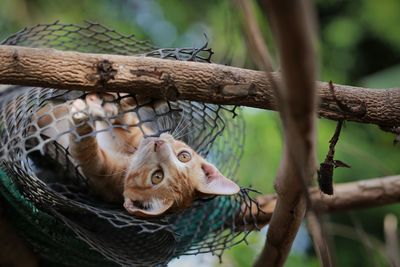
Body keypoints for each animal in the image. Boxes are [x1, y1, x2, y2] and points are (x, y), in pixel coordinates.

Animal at [37, 93, 239, 218]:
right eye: (184, 156)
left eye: (157, 177)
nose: (159, 144)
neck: (130, 155)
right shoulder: (138, 133)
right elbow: (127, 119)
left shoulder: (100, 173)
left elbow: (86, 148)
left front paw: (82, 116)